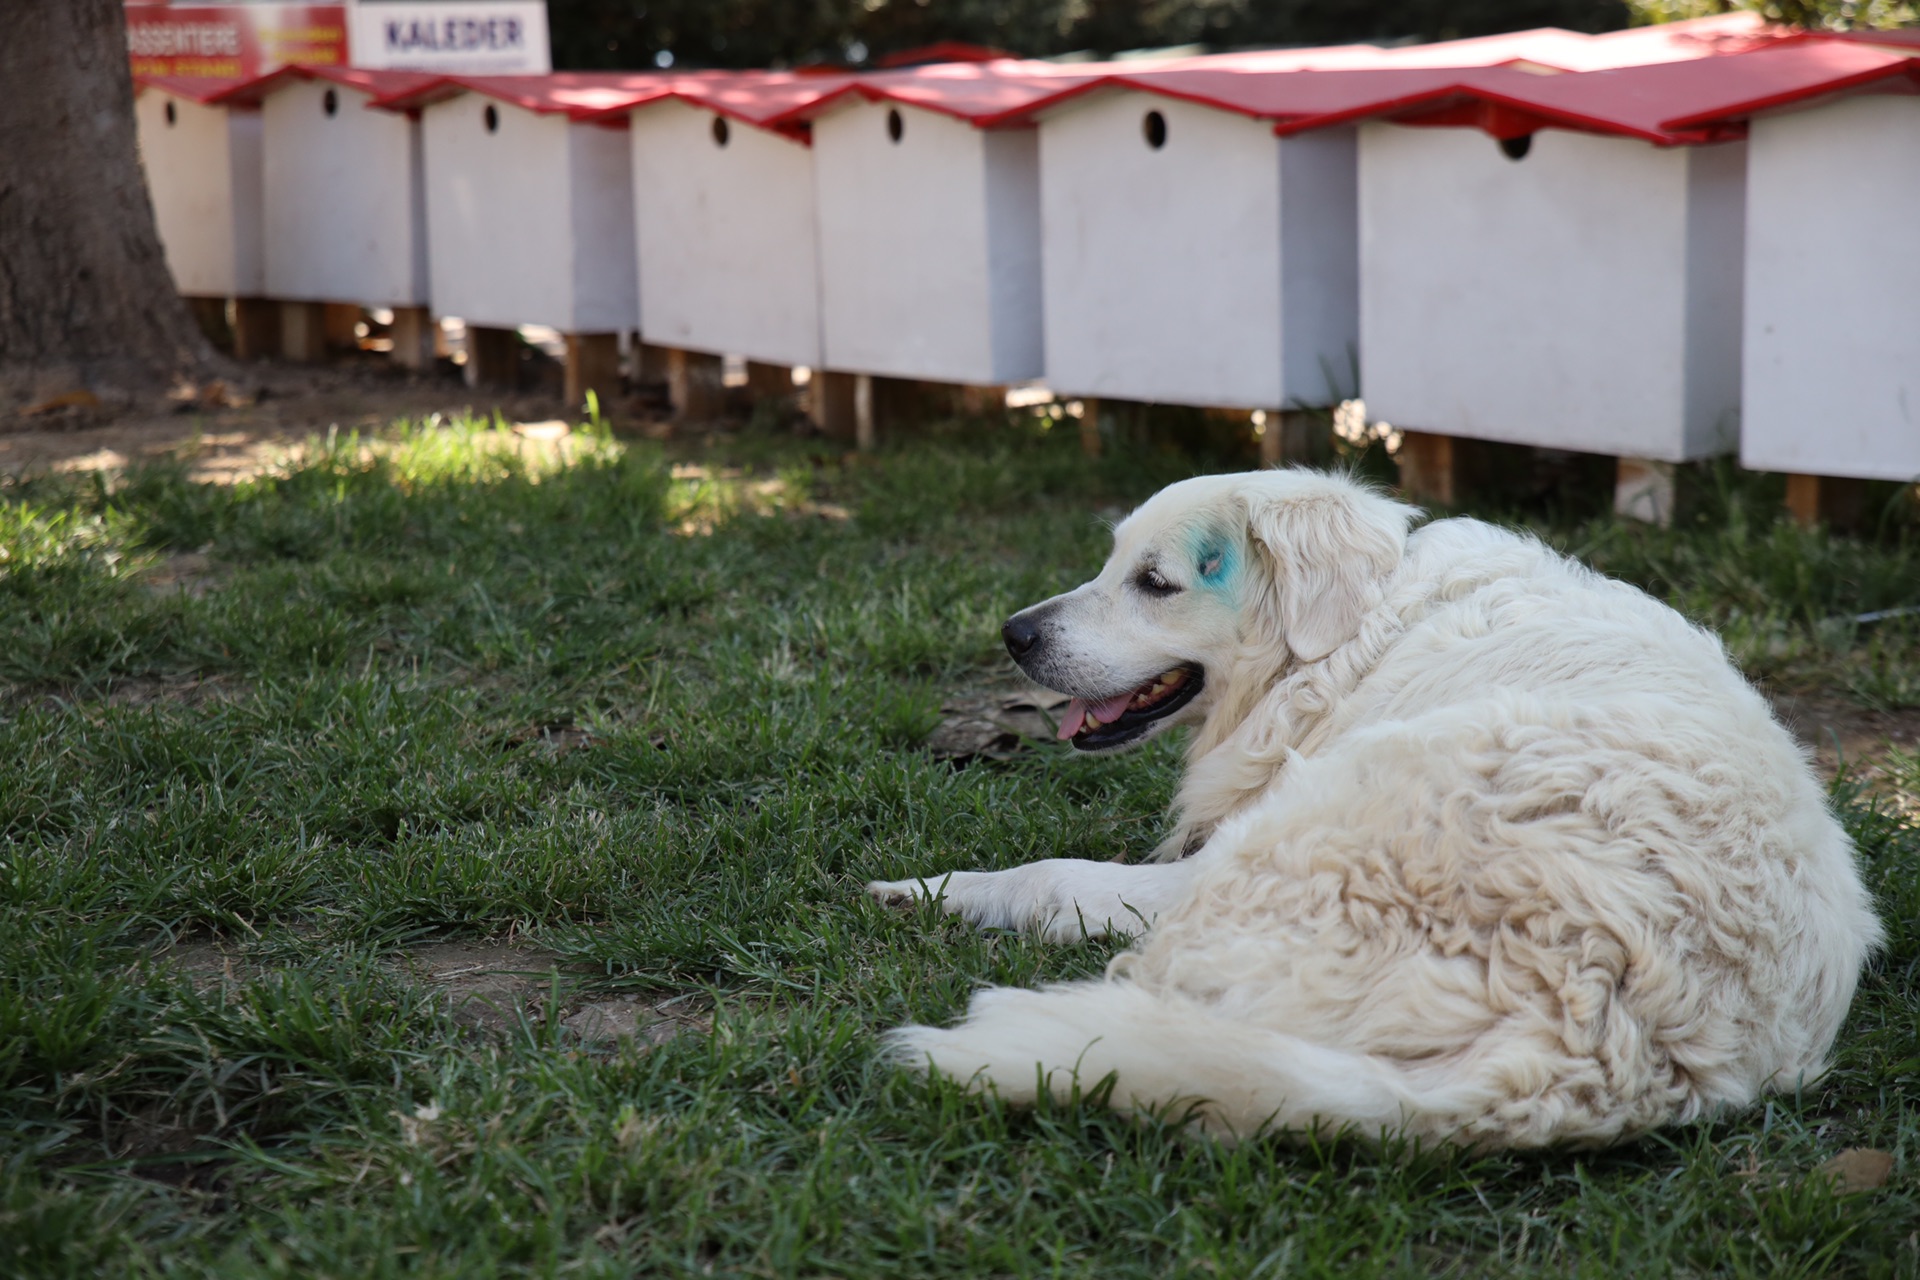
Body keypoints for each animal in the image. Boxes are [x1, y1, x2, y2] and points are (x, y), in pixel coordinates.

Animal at [875, 470, 1889, 1151]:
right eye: (1110, 561)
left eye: (1155, 582)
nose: (1015, 634)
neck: (1351, 634)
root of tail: (1596, 1044)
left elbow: (1050, 877)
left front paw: (926, 888)